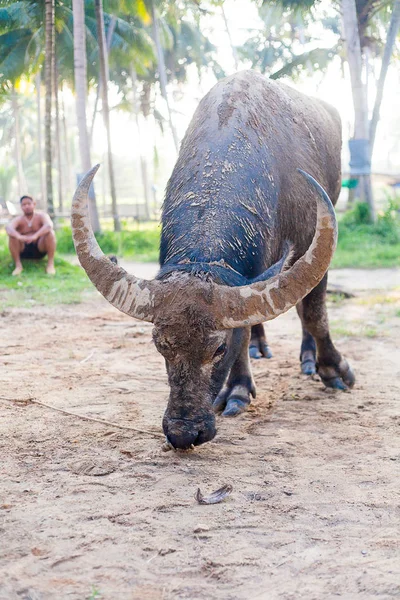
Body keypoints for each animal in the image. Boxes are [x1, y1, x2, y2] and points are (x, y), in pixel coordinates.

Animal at [71, 70, 354, 450]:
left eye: (219, 347)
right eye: (160, 345)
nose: (184, 432)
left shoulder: (314, 241)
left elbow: (313, 313)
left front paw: (333, 370)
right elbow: (246, 329)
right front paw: (239, 388)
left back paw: (307, 359)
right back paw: (260, 346)